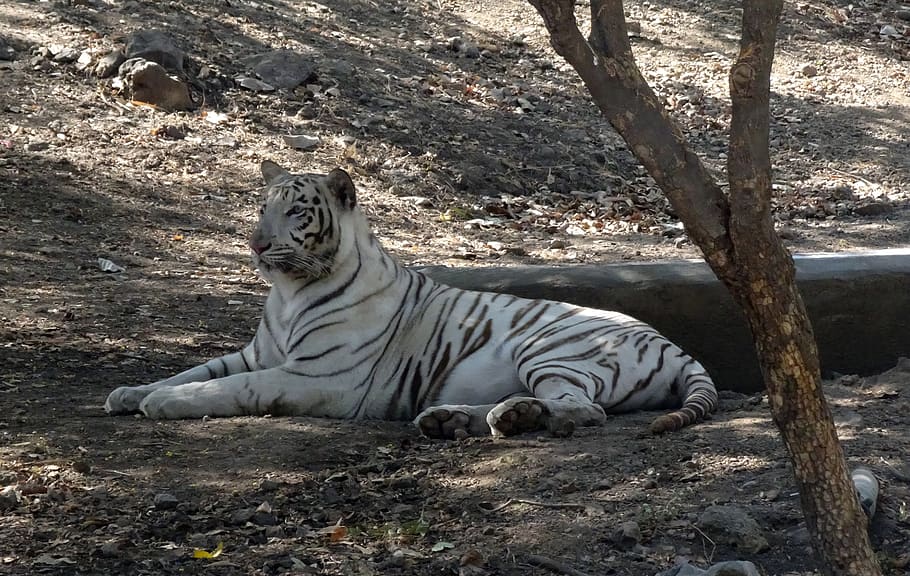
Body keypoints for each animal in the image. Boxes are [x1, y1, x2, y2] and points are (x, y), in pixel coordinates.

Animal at [105, 162, 720, 436]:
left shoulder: (316, 375)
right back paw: (454, 419)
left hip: (552, 349)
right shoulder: (257, 353)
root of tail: (674, 345)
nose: (255, 243)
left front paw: (162, 405)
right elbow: (194, 370)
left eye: (296, 211)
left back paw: (507, 418)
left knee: (581, 409)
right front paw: (131, 392)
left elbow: (231, 388)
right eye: (262, 207)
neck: (289, 293)